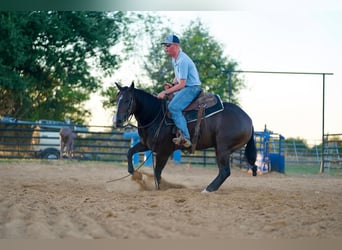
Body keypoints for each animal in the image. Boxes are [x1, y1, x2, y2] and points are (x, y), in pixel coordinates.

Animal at [115, 81, 256, 192]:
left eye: (127, 100)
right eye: (117, 100)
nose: (117, 121)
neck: (155, 115)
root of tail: (248, 119)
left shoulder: (164, 151)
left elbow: (157, 172)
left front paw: (158, 188)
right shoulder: (146, 144)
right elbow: (129, 152)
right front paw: (136, 175)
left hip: (223, 148)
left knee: (225, 171)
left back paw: (207, 189)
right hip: (220, 148)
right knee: (223, 171)